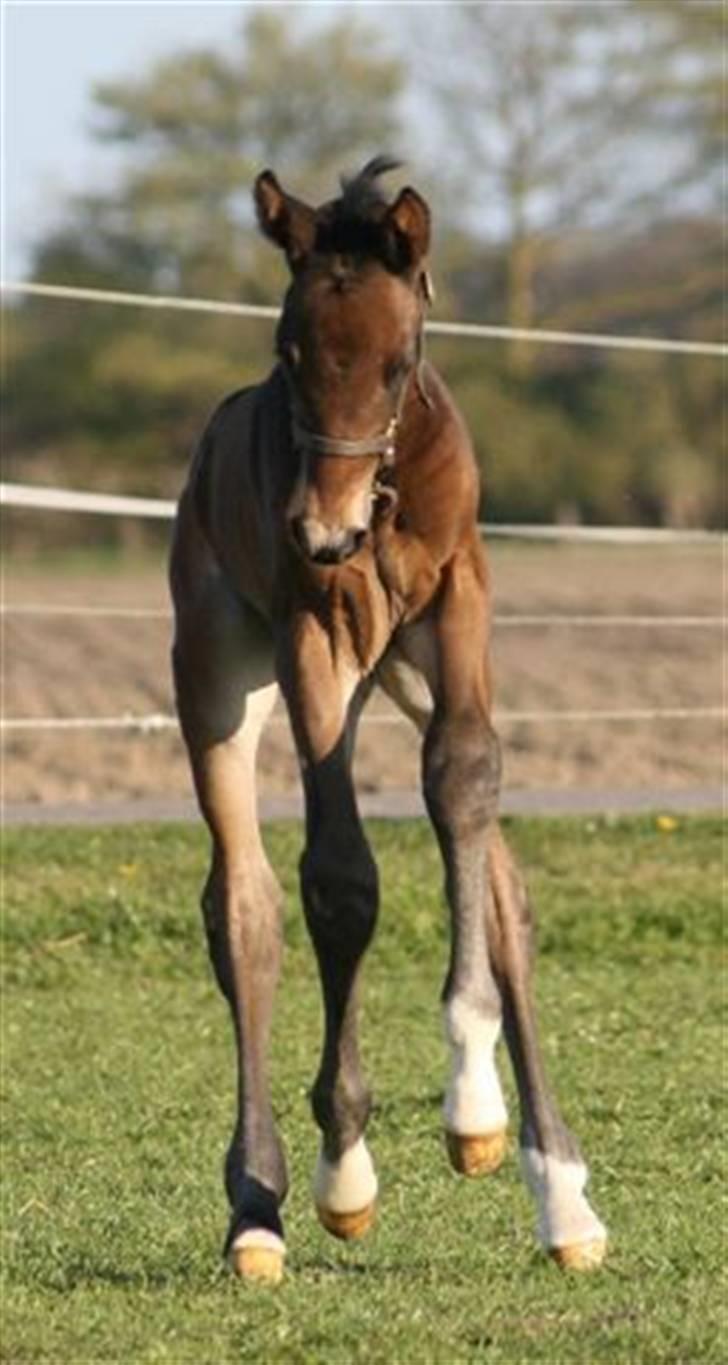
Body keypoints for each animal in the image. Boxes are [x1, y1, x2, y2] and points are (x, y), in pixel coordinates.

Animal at [170, 156, 606, 1277]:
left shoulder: (458, 599)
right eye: (288, 351)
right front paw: (346, 1169)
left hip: (398, 666)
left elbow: (463, 782)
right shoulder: (312, 631)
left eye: (398, 356)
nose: (324, 531)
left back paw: (560, 1191)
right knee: (243, 908)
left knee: (500, 877)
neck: (383, 491)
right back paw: (257, 1208)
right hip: (219, 672)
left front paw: (476, 1111)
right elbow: (339, 879)